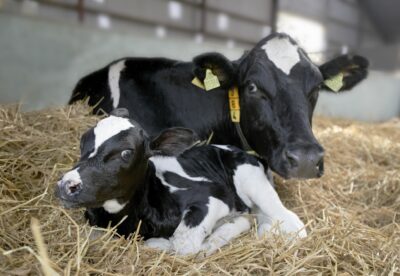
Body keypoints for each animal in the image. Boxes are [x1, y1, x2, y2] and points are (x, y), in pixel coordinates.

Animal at [54, 109, 308, 256]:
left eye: (126, 153)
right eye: (83, 139)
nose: (67, 185)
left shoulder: (211, 197)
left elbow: (184, 245)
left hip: (253, 181)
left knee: (291, 222)